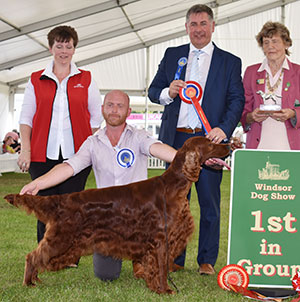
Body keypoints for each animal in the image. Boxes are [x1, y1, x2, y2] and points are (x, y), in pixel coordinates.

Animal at [4, 136, 230, 292]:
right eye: (210, 144)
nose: (229, 145)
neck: (174, 186)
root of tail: (62, 200)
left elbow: (158, 267)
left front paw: (155, 287)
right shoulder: (161, 239)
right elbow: (162, 268)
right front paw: (164, 290)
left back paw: (35, 280)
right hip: (61, 239)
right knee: (32, 256)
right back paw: (28, 283)